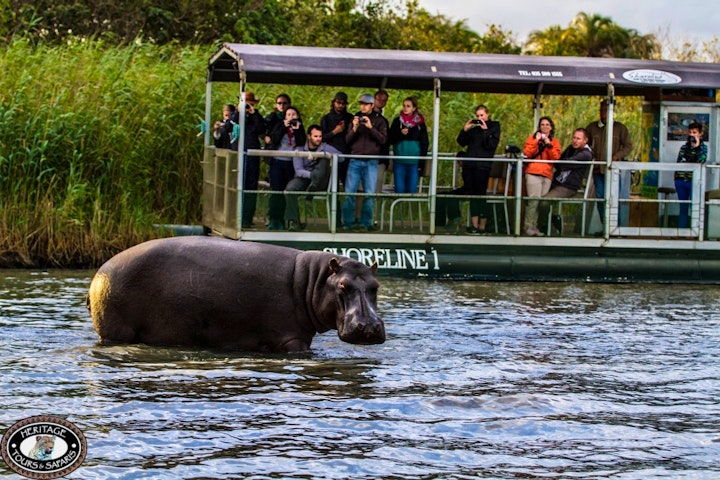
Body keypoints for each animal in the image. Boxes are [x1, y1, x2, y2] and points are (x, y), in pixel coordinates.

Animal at [87, 236, 386, 352]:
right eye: (343, 285)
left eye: (376, 286)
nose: (370, 326)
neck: (312, 280)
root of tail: (98, 274)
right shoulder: (292, 339)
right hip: (116, 331)